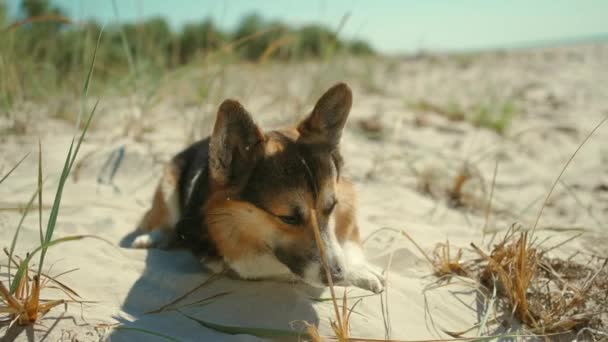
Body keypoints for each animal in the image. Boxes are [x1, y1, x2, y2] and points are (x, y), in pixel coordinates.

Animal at [132, 81, 384, 292]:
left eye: (331, 207)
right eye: (289, 218)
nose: (338, 276)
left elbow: (347, 242)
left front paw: (360, 268)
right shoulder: (247, 263)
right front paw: (357, 273)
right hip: (167, 189)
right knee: (158, 219)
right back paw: (150, 238)